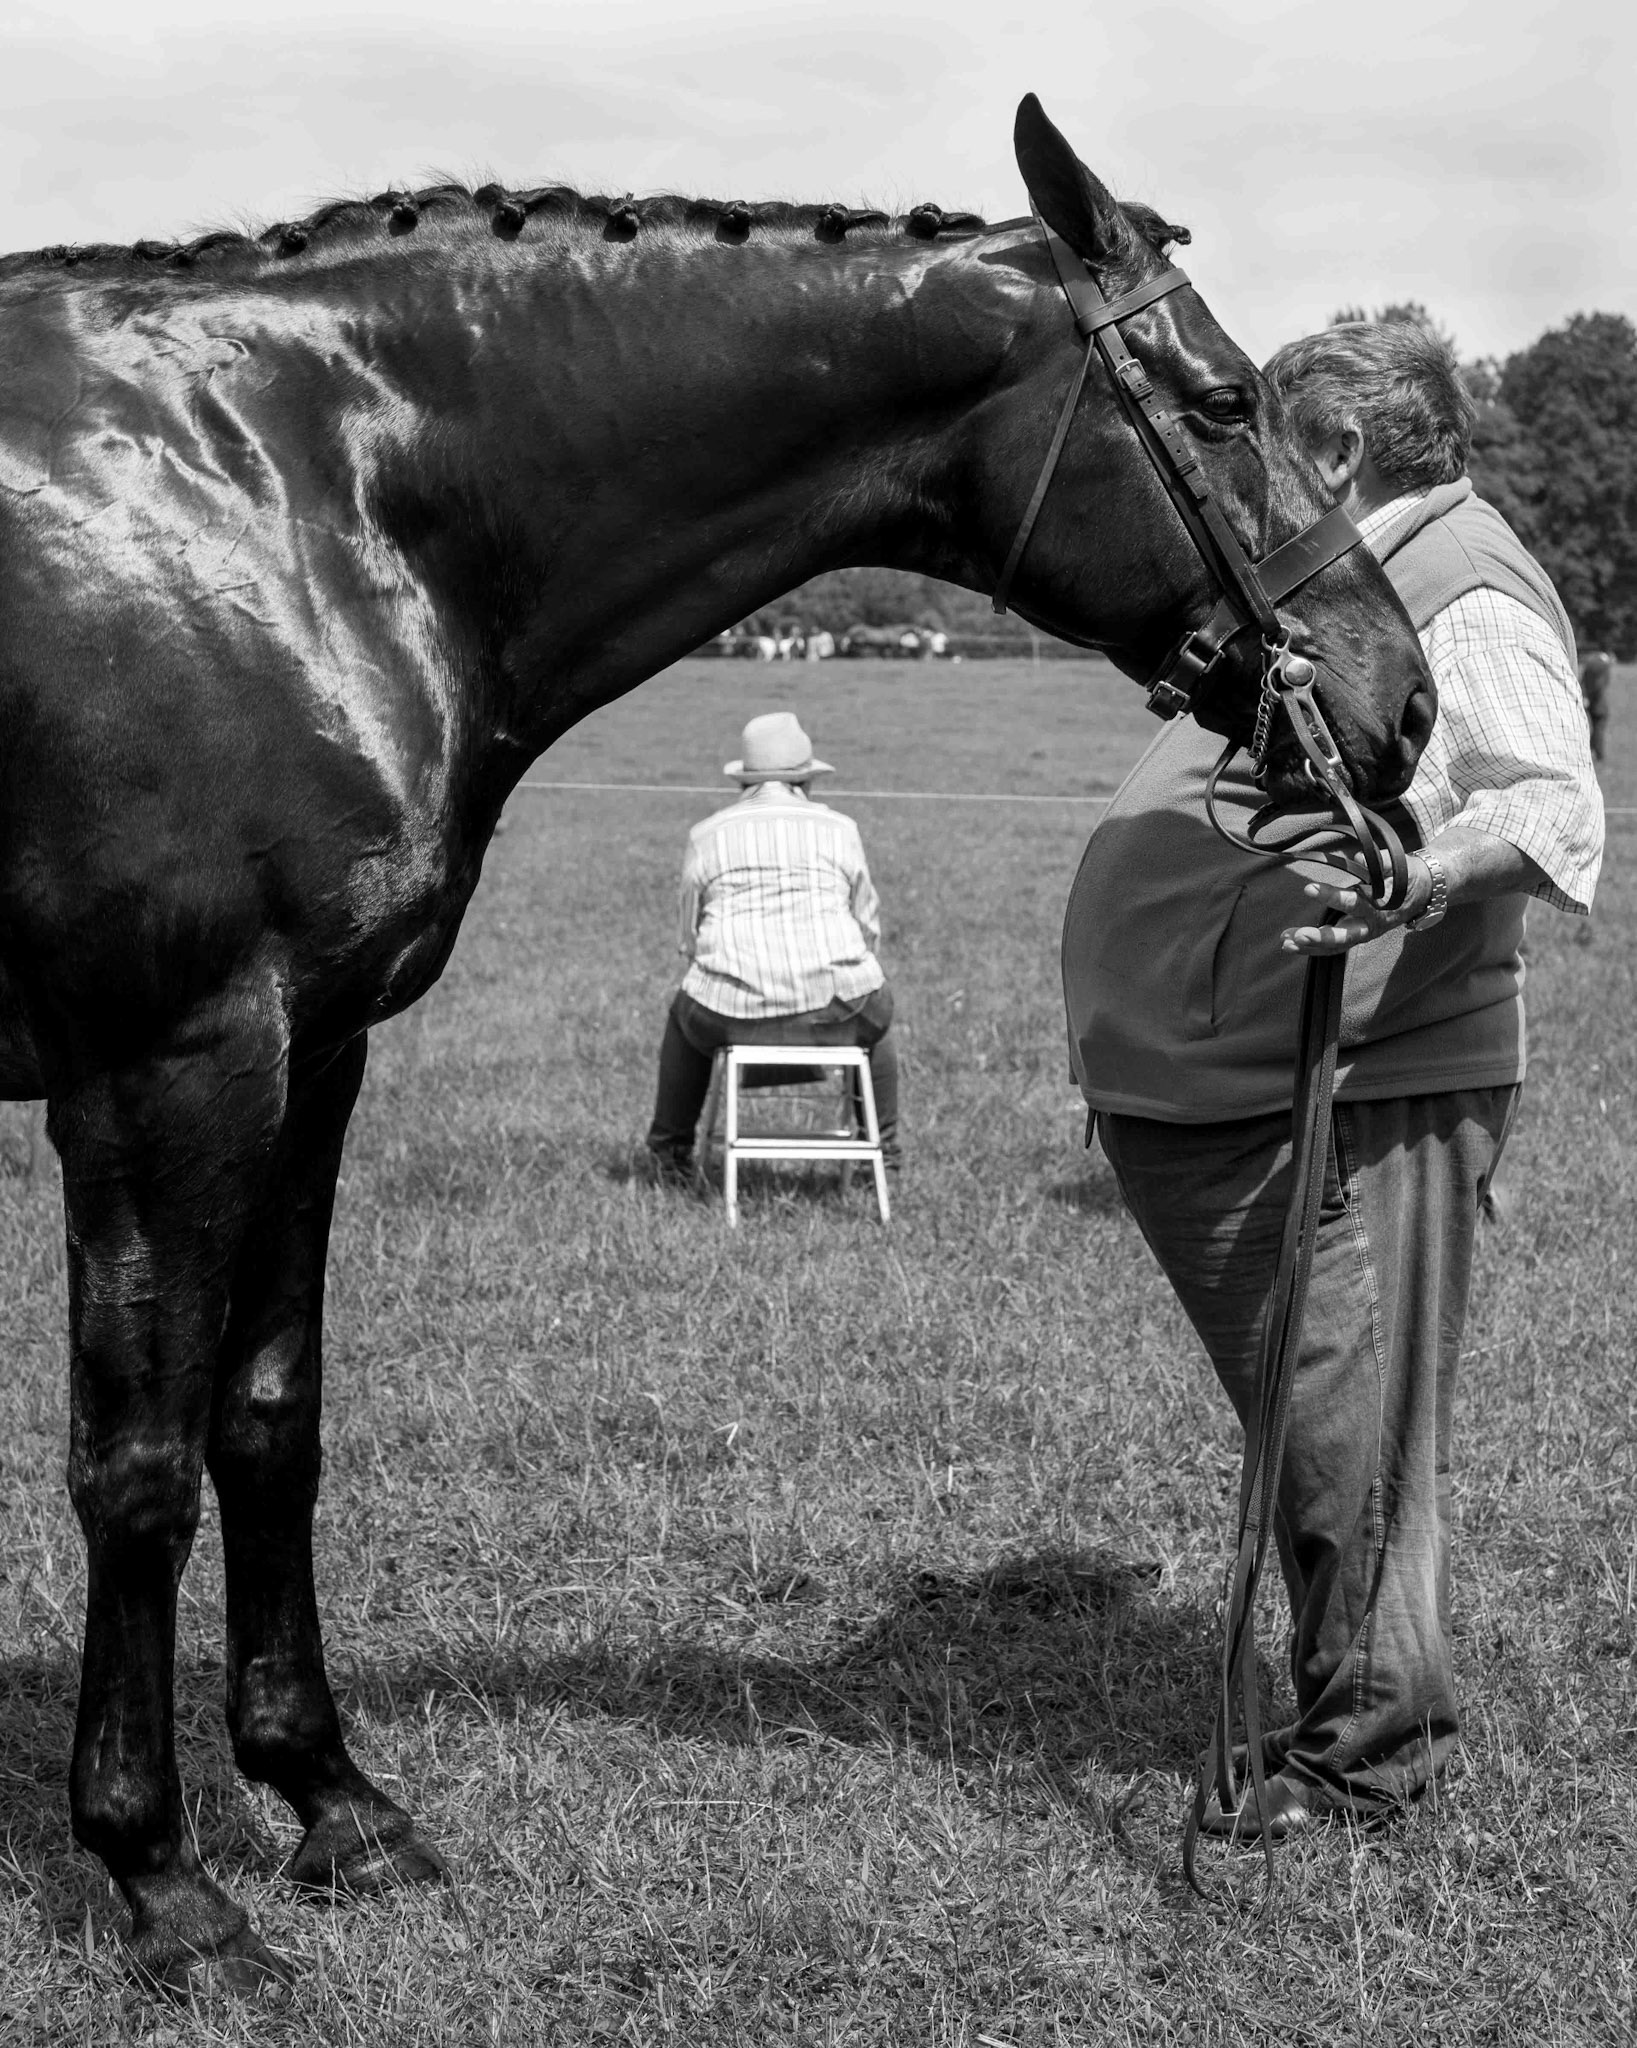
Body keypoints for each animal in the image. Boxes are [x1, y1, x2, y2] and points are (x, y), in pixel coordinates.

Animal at [0, 96, 1434, 1995]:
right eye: (1218, 403)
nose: (1397, 700)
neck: (286, 496)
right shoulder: (166, 1068)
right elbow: (140, 1467)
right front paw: (162, 1877)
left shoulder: (313, 1056)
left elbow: (266, 1420)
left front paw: (334, 1803)